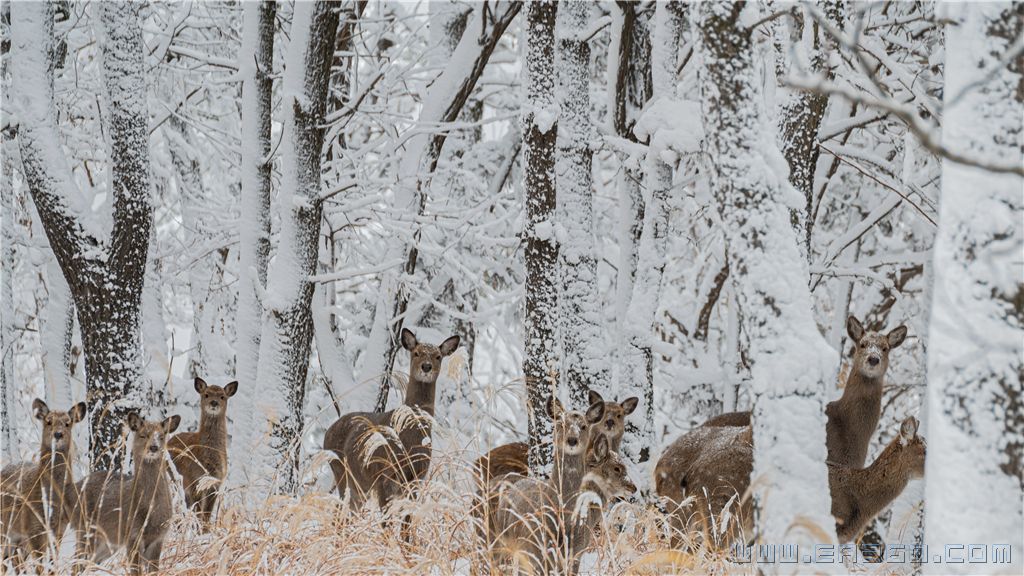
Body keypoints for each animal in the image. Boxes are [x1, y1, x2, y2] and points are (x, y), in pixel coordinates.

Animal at [0, 399, 86, 569]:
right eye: (48, 421)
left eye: (68, 423)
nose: (58, 434)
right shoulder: (34, 527)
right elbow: (40, 565)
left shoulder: (59, 527)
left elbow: (52, 562)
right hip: (5, 528)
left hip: (17, 537)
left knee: (15, 561)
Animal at [72, 409, 182, 569]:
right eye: (143, 435)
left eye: (161, 437)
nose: (153, 447)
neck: (151, 510)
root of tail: (77, 485)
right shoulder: (132, 535)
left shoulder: (158, 538)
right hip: (86, 528)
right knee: (76, 563)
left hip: (108, 542)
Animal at [169, 375, 237, 528]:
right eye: (206, 394)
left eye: (222, 396)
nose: (214, 402)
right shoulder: (193, 481)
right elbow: (199, 512)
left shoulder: (215, 482)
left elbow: (206, 514)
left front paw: (205, 530)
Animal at [323, 327, 460, 532]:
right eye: (416, 353)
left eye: (438, 356)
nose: (426, 367)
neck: (411, 438)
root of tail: (326, 434)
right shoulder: (383, 476)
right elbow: (387, 524)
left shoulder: (416, 480)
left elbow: (406, 525)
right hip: (342, 473)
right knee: (340, 517)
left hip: (359, 485)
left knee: (345, 517)